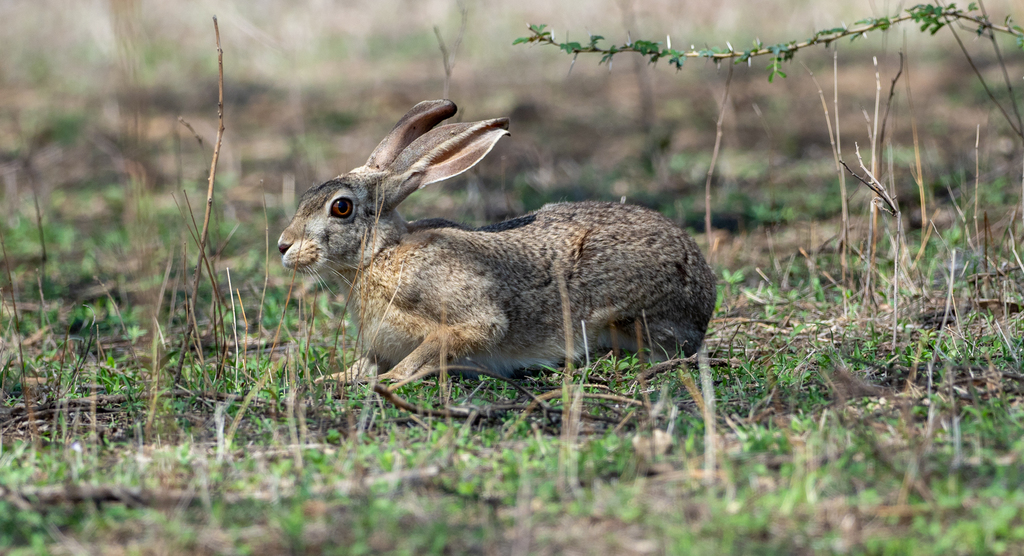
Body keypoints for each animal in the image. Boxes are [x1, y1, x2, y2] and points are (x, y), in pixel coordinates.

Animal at [278, 99, 716, 383]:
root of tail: (704, 293)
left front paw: (387, 382)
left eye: (341, 208)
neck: (381, 255)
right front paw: (329, 380)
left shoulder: (471, 320)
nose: (283, 246)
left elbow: (441, 345)